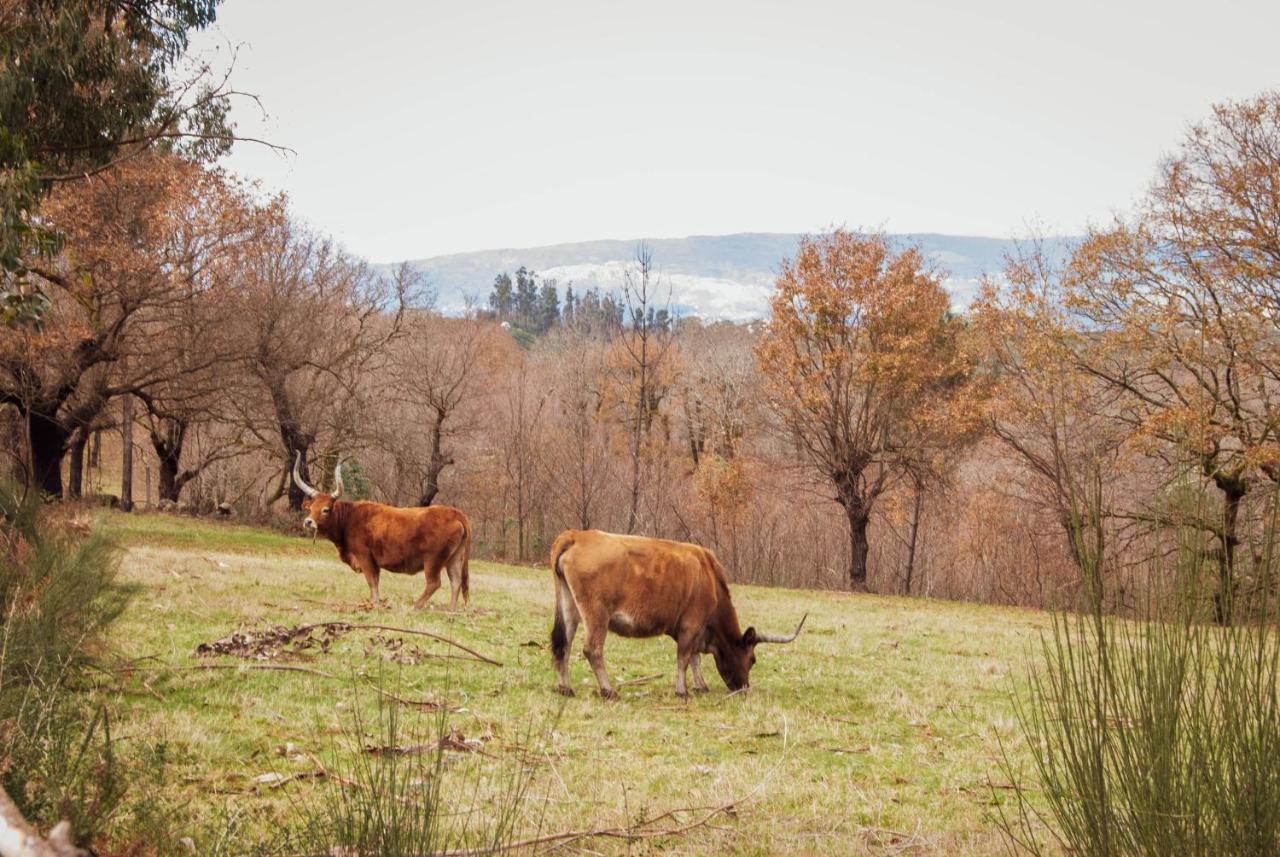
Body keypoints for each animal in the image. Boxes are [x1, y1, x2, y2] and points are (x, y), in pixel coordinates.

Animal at [290, 455, 471, 611]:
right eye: (311, 508)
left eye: (326, 509)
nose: (308, 522)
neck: (350, 518)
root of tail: (455, 513)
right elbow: (375, 582)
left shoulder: (365, 557)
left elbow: (372, 582)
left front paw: (374, 605)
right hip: (454, 559)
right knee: (456, 582)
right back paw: (451, 611)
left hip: (433, 560)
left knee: (434, 583)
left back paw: (415, 607)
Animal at [547, 534, 803, 700]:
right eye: (753, 660)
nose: (744, 688)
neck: (709, 576)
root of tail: (578, 536)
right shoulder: (691, 624)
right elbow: (684, 657)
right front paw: (683, 690)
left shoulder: (696, 629)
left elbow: (694, 658)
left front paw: (700, 685)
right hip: (597, 614)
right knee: (592, 649)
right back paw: (608, 690)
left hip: (569, 608)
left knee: (563, 645)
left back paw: (565, 688)